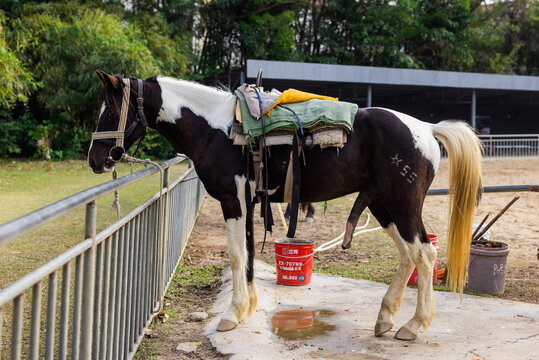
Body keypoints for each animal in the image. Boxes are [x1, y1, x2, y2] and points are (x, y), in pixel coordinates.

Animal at [86, 71, 484, 342]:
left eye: (111, 111)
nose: (95, 160)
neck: (215, 129)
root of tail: (427, 129)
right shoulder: (247, 202)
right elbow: (247, 254)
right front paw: (246, 308)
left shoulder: (232, 201)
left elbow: (236, 255)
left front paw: (232, 315)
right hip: (384, 207)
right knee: (408, 255)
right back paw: (385, 319)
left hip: (402, 206)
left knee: (426, 255)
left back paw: (413, 325)